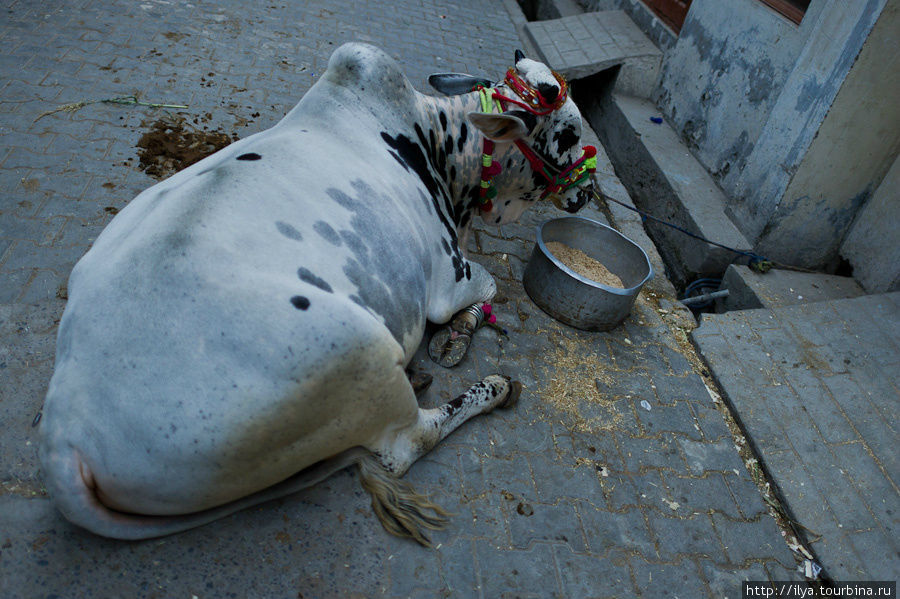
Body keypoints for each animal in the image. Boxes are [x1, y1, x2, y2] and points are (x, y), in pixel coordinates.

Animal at [40, 44, 592, 548]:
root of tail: (64, 438)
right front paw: (459, 334)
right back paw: (491, 388)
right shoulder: (448, 277)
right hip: (360, 350)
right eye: (570, 134)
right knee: (407, 443)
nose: (587, 192)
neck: (437, 143)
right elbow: (490, 284)